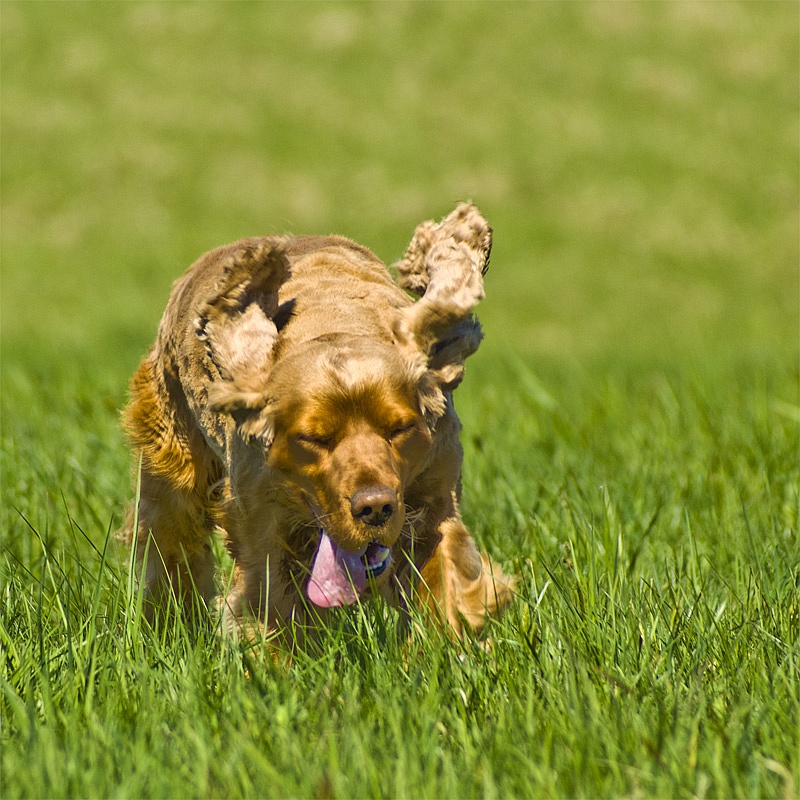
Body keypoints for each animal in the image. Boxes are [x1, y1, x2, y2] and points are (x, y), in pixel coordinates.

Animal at [122, 205, 516, 636]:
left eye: (399, 428)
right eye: (314, 438)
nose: (375, 508)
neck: (334, 320)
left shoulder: (436, 501)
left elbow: (448, 584)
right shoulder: (262, 528)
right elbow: (274, 612)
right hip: (171, 463)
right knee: (170, 545)